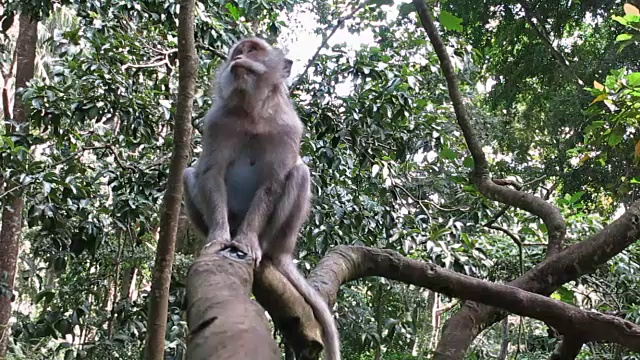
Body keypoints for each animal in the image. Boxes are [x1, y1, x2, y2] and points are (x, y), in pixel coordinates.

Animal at [182, 36, 342, 360]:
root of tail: (284, 251)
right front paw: (219, 236)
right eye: (238, 50)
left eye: (253, 50)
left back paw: (263, 249)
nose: (239, 57)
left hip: (281, 234)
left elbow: (272, 183)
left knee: (299, 173)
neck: (251, 111)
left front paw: (246, 242)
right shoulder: (216, 121)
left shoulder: (287, 127)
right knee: (189, 173)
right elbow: (210, 173)